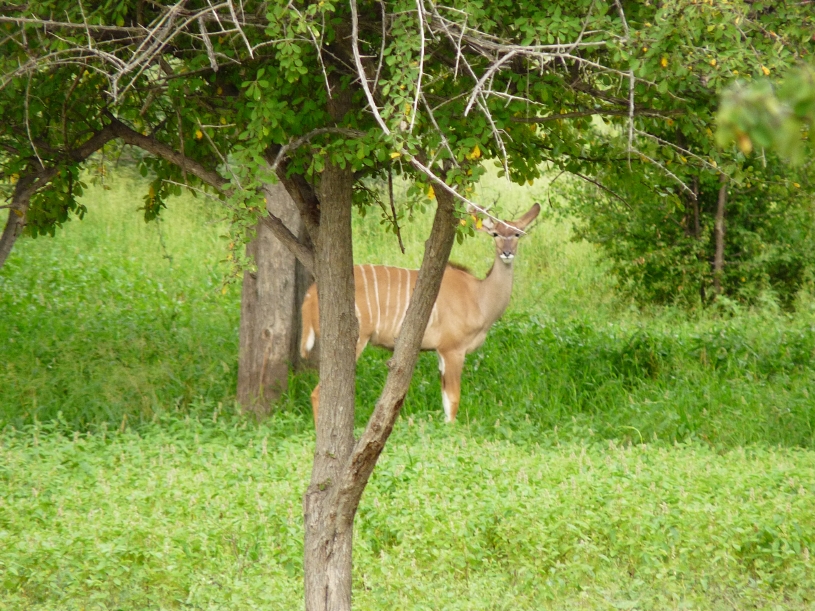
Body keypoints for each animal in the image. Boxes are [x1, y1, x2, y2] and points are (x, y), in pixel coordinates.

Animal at [300, 203, 540, 423]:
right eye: (495, 234)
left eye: (517, 234)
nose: (507, 253)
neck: (478, 296)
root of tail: (310, 296)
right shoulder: (453, 349)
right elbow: (453, 400)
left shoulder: (440, 352)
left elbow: (445, 399)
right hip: (355, 339)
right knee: (317, 393)